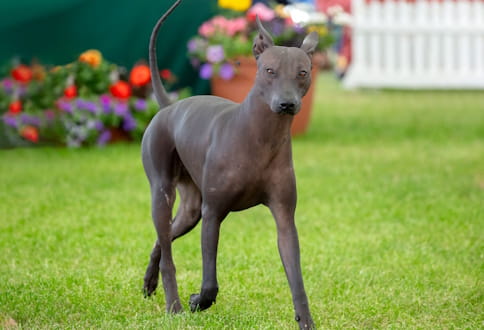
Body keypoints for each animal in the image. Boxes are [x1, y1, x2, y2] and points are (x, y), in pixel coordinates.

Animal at [142, 1, 320, 328]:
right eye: (269, 71)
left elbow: (297, 279)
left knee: (164, 239)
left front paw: (306, 320)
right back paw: (174, 305)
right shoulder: (212, 213)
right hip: (163, 193)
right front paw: (198, 301)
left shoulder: (284, 219)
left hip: (190, 210)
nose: (287, 104)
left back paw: (149, 282)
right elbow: (210, 281)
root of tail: (170, 106)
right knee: (168, 253)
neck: (262, 137)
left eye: (302, 73)